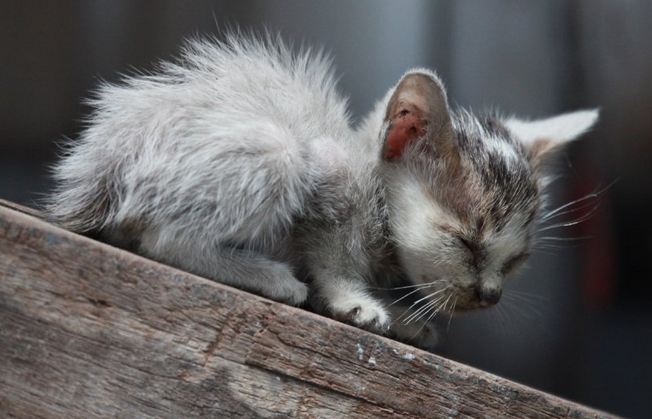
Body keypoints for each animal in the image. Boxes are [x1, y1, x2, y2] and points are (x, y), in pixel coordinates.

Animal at [44, 34, 596, 346]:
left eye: (516, 261)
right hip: (278, 152)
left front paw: (401, 314)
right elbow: (333, 254)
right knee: (163, 240)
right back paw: (269, 276)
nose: (490, 295)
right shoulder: (331, 171)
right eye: (466, 243)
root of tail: (100, 166)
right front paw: (353, 299)